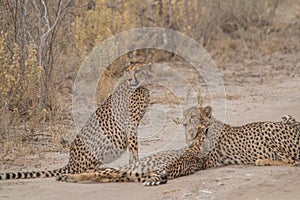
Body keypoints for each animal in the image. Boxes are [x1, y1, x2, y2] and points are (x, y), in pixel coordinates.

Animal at [0, 63, 152, 180]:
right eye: (128, 71)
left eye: (137, 71)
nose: (130, 79)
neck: (143, 86)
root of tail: (70, 161)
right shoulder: (131, 123)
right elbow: (134, 148)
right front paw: (136, 165)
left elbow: (133, 150)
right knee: (85, 170)